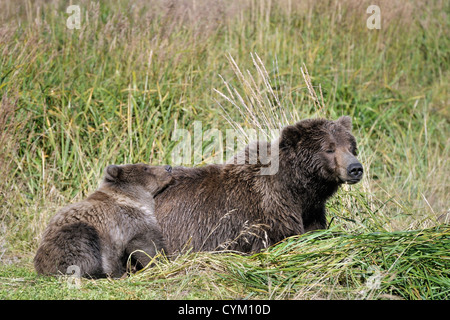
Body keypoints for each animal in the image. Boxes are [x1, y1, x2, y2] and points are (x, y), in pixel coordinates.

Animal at [33, 162, 172, 278]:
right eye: (145, 168)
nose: (168, 167)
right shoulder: (130, 222)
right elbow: (146, 244)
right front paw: (159, 262)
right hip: (76, 235)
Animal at [155, 115, 362, 252]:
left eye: (351, 146)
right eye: (329, 149)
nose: (355, 168)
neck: (297, 190)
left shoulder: (312, 212)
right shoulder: (266, 215)